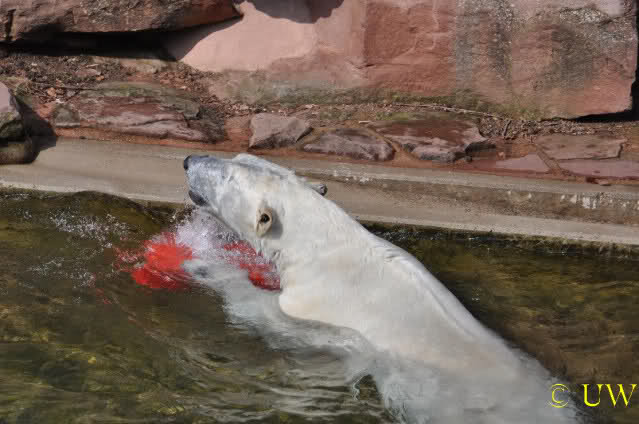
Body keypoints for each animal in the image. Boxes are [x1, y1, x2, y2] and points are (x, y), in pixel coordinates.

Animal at [183, 153, 577, 423]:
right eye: (236, 158)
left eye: (225, 176)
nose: (188, 160)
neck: (326, 244)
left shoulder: (318, 305)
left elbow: (263, 312)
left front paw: (204, 265)